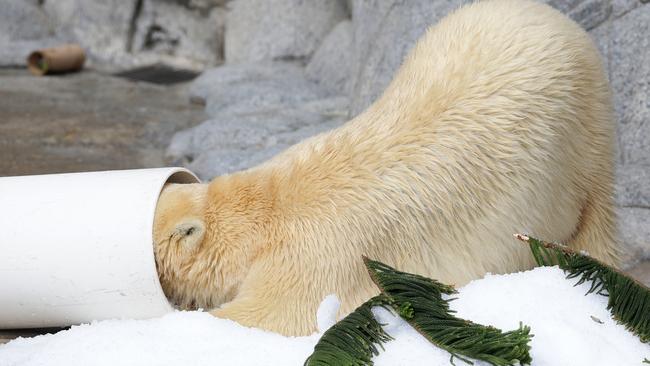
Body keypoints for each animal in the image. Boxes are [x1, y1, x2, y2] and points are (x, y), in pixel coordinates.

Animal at [151, 0, 616, 338]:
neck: (265, 213)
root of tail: (550, 16)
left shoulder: (314, 256)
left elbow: (273, 316)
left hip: (580, 135)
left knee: (596, 216)